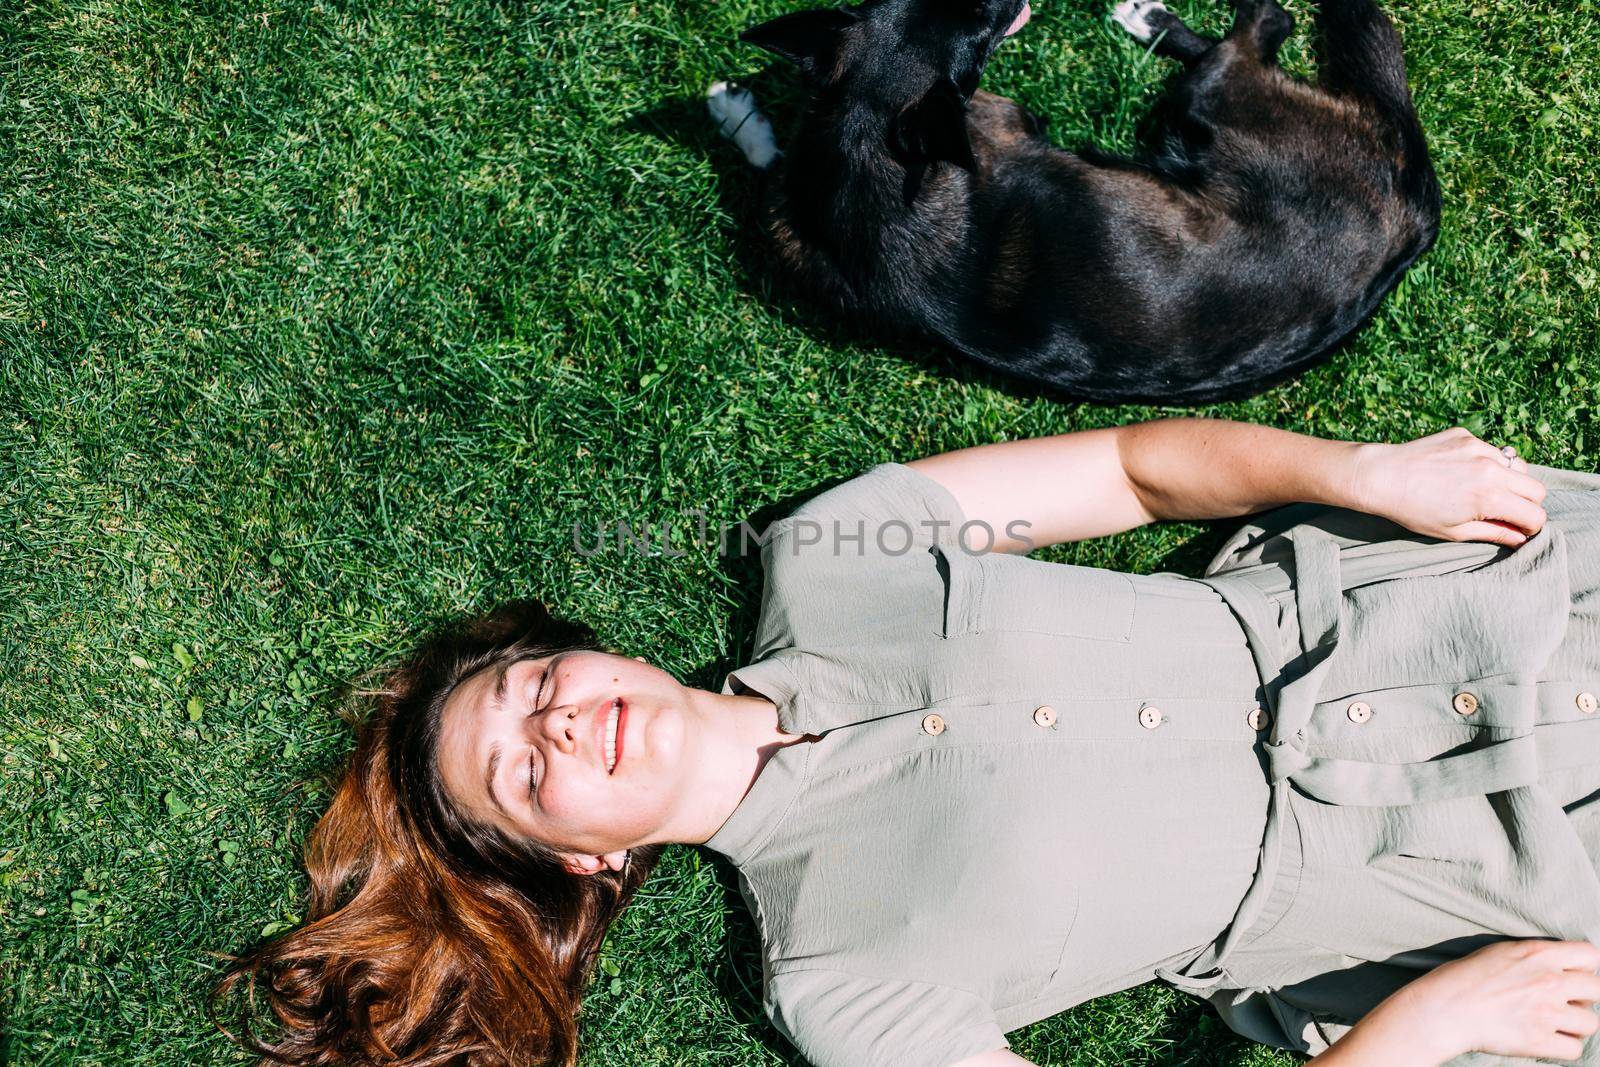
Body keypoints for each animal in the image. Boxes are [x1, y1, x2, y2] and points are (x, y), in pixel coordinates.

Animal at [710, 0, 1440, 404]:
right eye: (981, 27)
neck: (863, 131)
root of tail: (1413, 210)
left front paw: (735, 114)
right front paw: (737, 115)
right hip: (1211, 98)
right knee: (1256, 30)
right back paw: (1153, 21)